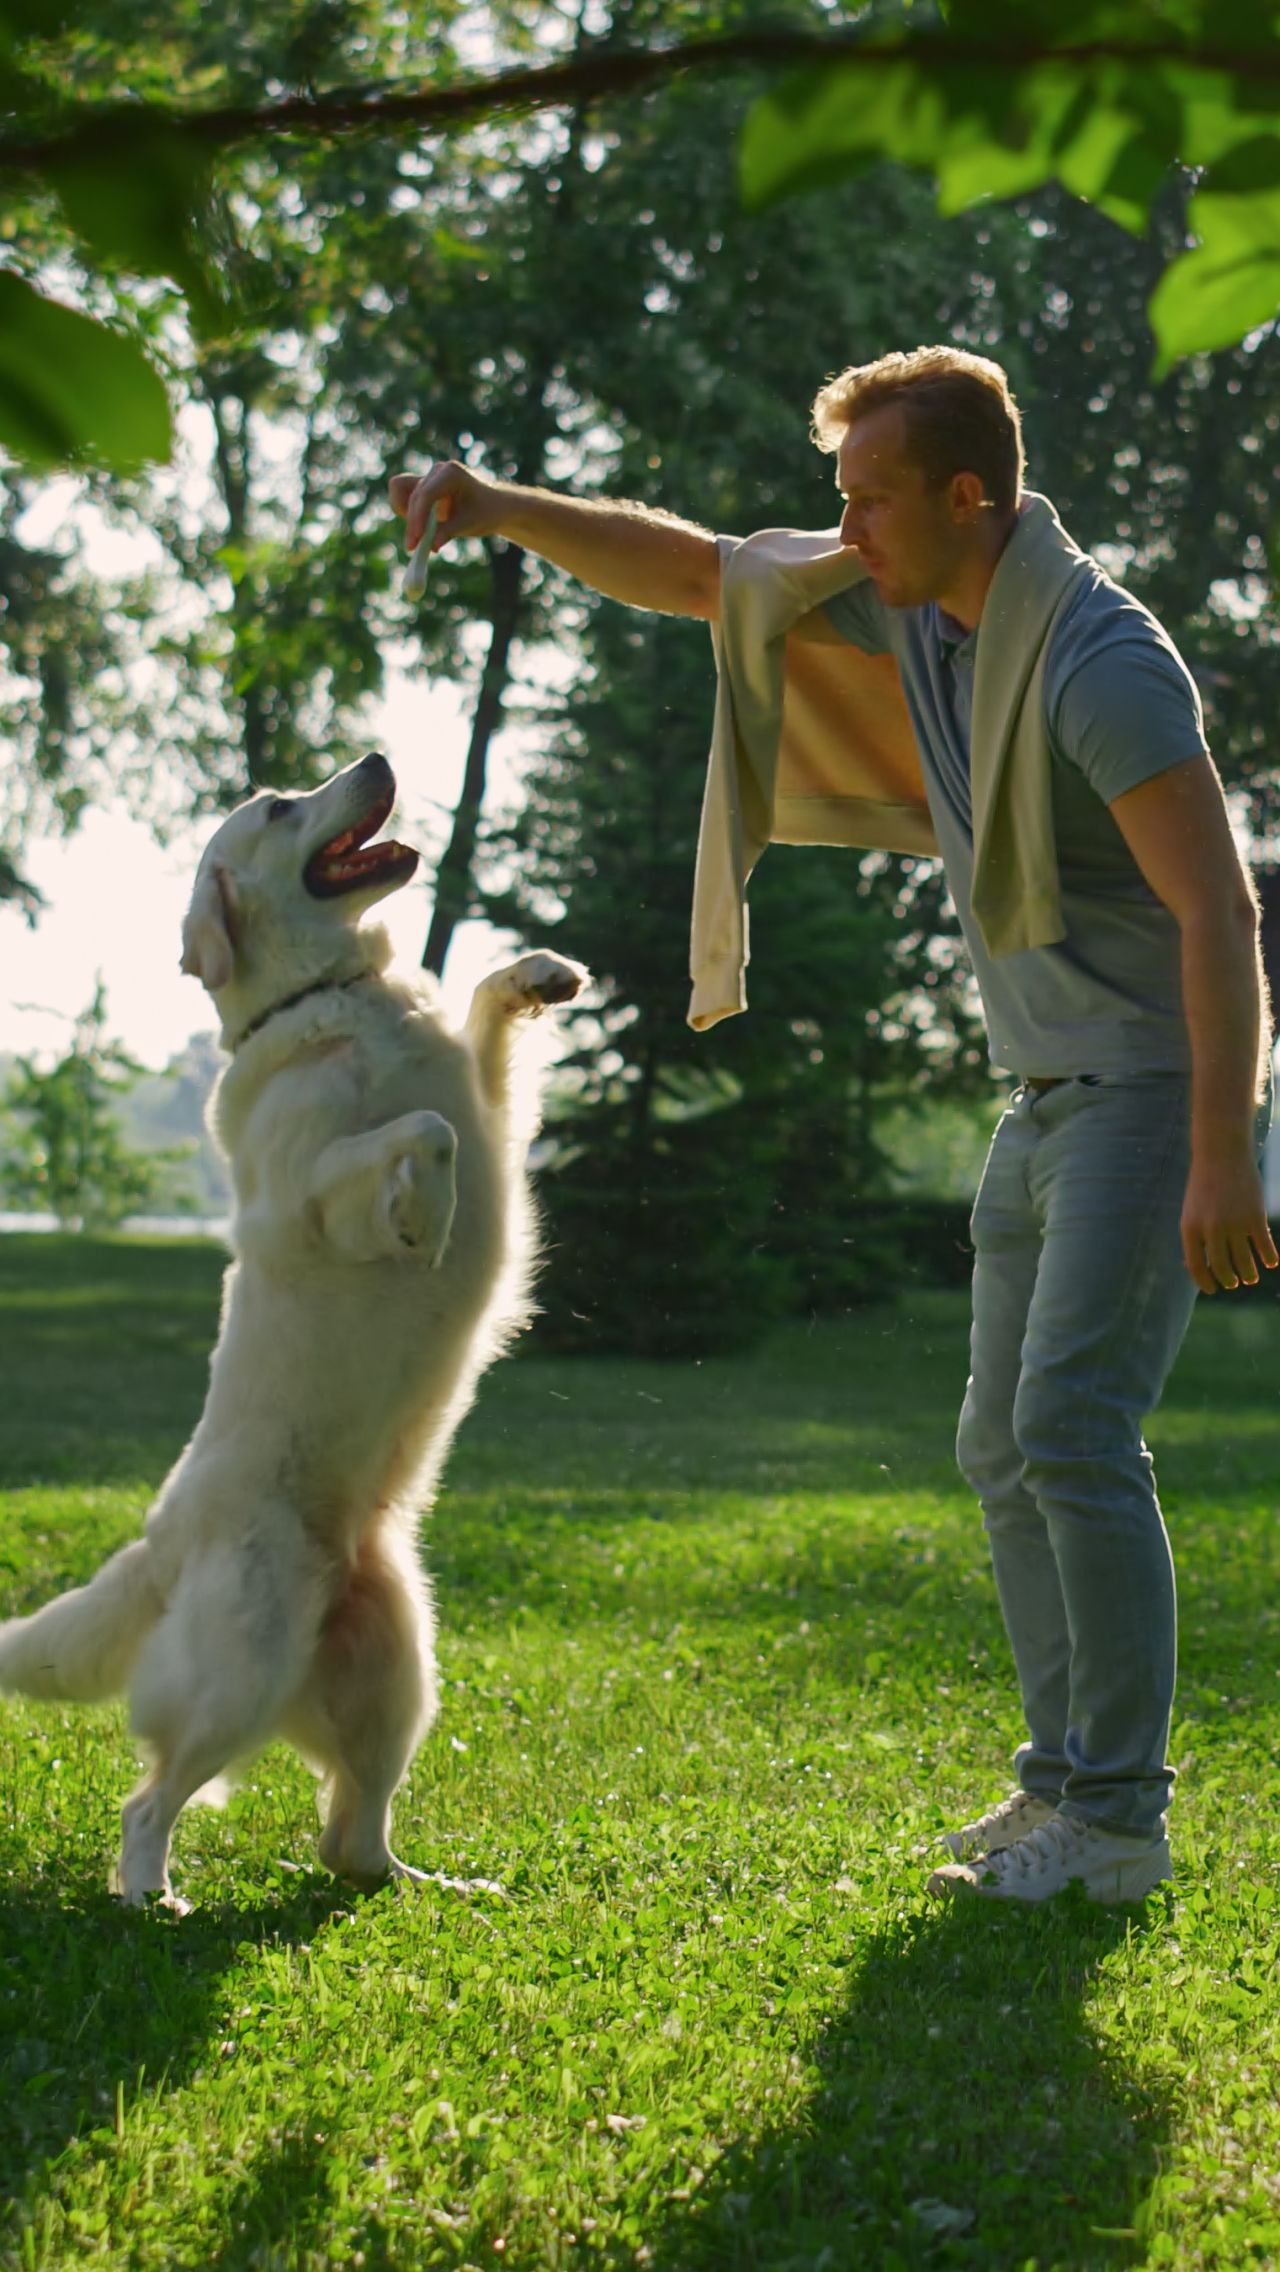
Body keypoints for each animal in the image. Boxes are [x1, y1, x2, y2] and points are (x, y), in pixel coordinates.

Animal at [0, 754, 586, 1908]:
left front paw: (539, 970)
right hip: (246, 1669)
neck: (335, 995)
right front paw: (427, 1220)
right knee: (150, 1799)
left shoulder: (496, 1115)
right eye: (278, 807)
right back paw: (150, 1895)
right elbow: (422, 1132)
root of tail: (159, 1544)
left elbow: (477, 1041)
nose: (378, 761)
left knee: (348, 1837)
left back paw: (435, 1887)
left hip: (404, 1669)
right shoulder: (313, 1197)